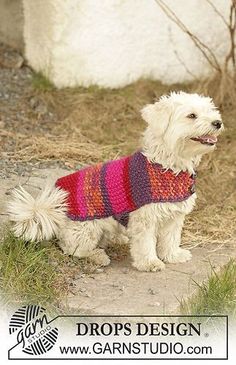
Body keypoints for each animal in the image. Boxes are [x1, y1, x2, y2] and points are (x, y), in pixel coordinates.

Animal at [6, 92, 222, 272]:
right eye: (192, 115)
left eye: (211, 111)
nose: (218, 122)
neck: (166, 165)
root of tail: (53, 208)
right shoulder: (144, 219)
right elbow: (145, 244)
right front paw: (150, 263)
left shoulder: (174, 217)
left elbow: (170, 239)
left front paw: (173, 256)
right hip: (86, 229)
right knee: (72, 248)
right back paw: (97, 256)